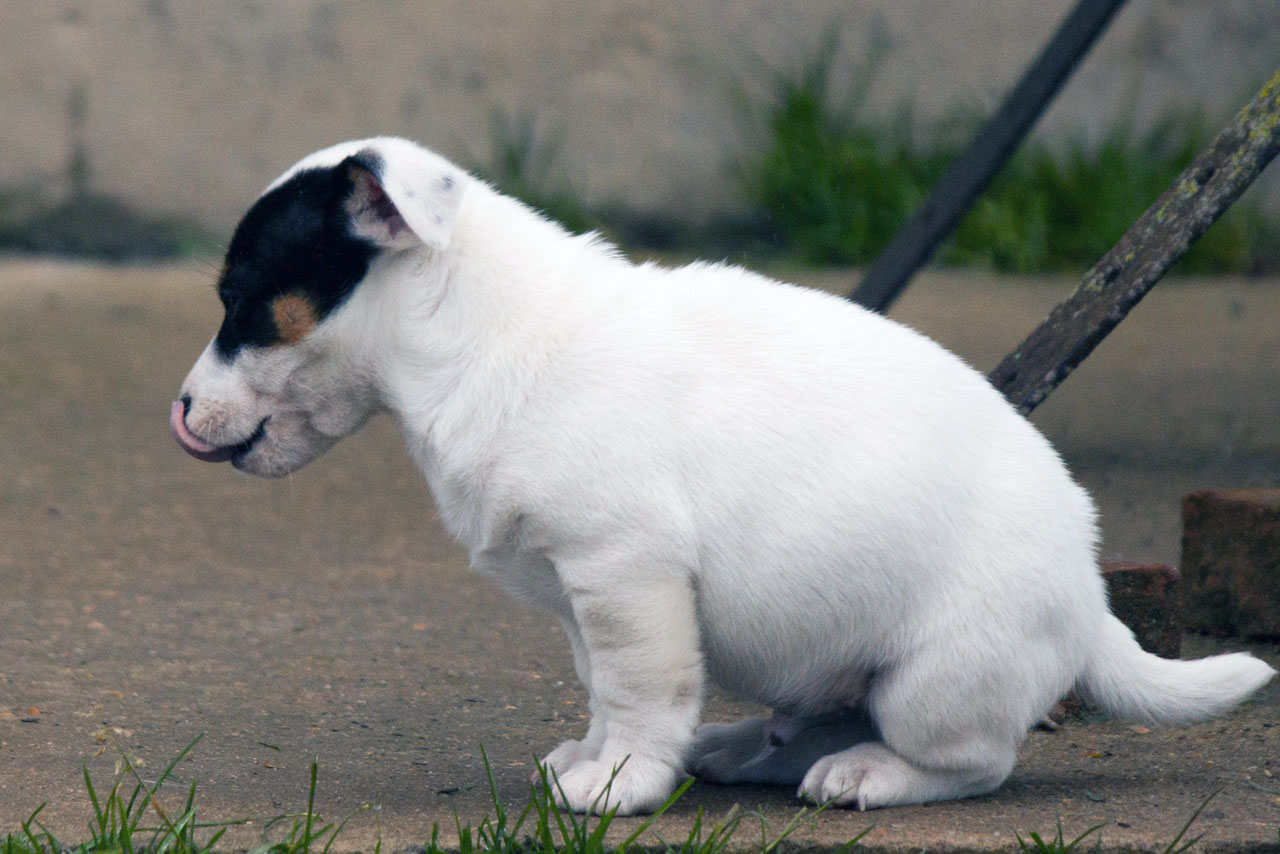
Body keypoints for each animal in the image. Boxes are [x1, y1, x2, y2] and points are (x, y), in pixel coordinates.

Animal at [171, 137, 1274, 815]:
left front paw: (619, 782)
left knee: (974, 760)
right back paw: (747, 746)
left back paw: (867, 774)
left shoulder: (624, 572)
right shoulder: (586, 592)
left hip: (933, 684)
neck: (469, 336)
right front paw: (595, 757)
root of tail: (1092, 603)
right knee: (820, 714)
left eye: (242, 300)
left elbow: (638, 686)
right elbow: (601, 685)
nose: (177, 414)